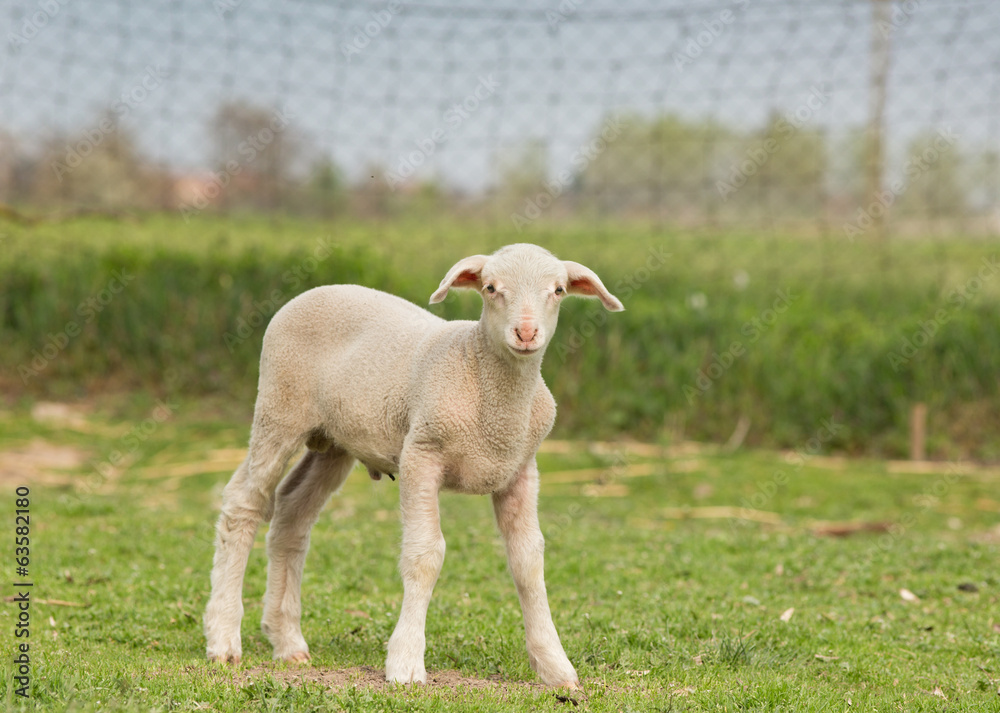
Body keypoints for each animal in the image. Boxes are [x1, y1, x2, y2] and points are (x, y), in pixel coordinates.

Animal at [203, 243, 623, 688]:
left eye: (558, 290)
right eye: (491, 288)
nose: (526, 334)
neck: (480, 373)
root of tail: (316, 290)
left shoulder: (521, 469)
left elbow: (529, 560)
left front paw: (555, 666)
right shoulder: (421, 454)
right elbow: (425, 555)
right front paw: (405, 662)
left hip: (334, 442)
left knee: (291, 514)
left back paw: (287, 640)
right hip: (279, 409)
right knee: (244, 502)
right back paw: (223, 638)